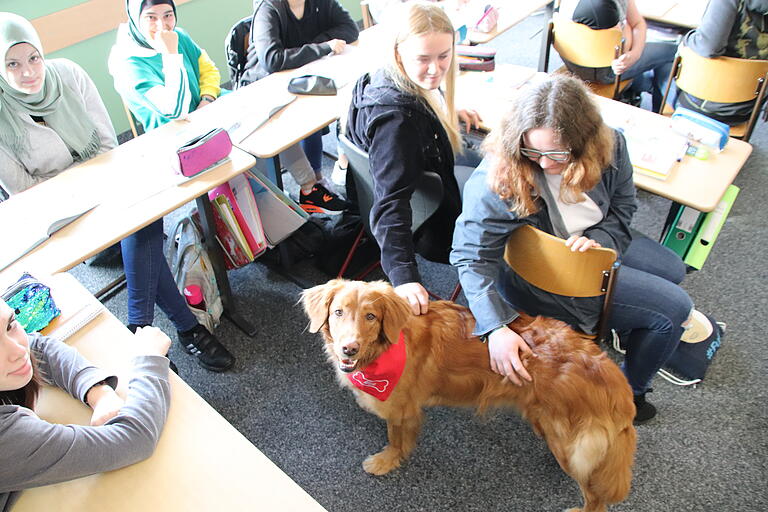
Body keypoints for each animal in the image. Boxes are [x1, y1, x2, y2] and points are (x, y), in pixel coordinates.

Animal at [300, 280, 636, 512]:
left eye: (370, 316)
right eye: (338, 312)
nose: (349, 348)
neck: (386, 349)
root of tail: (612, 376)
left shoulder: (402, 410)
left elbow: (396, 439)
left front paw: (387, 461)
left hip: (570, 444)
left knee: (597, 500)